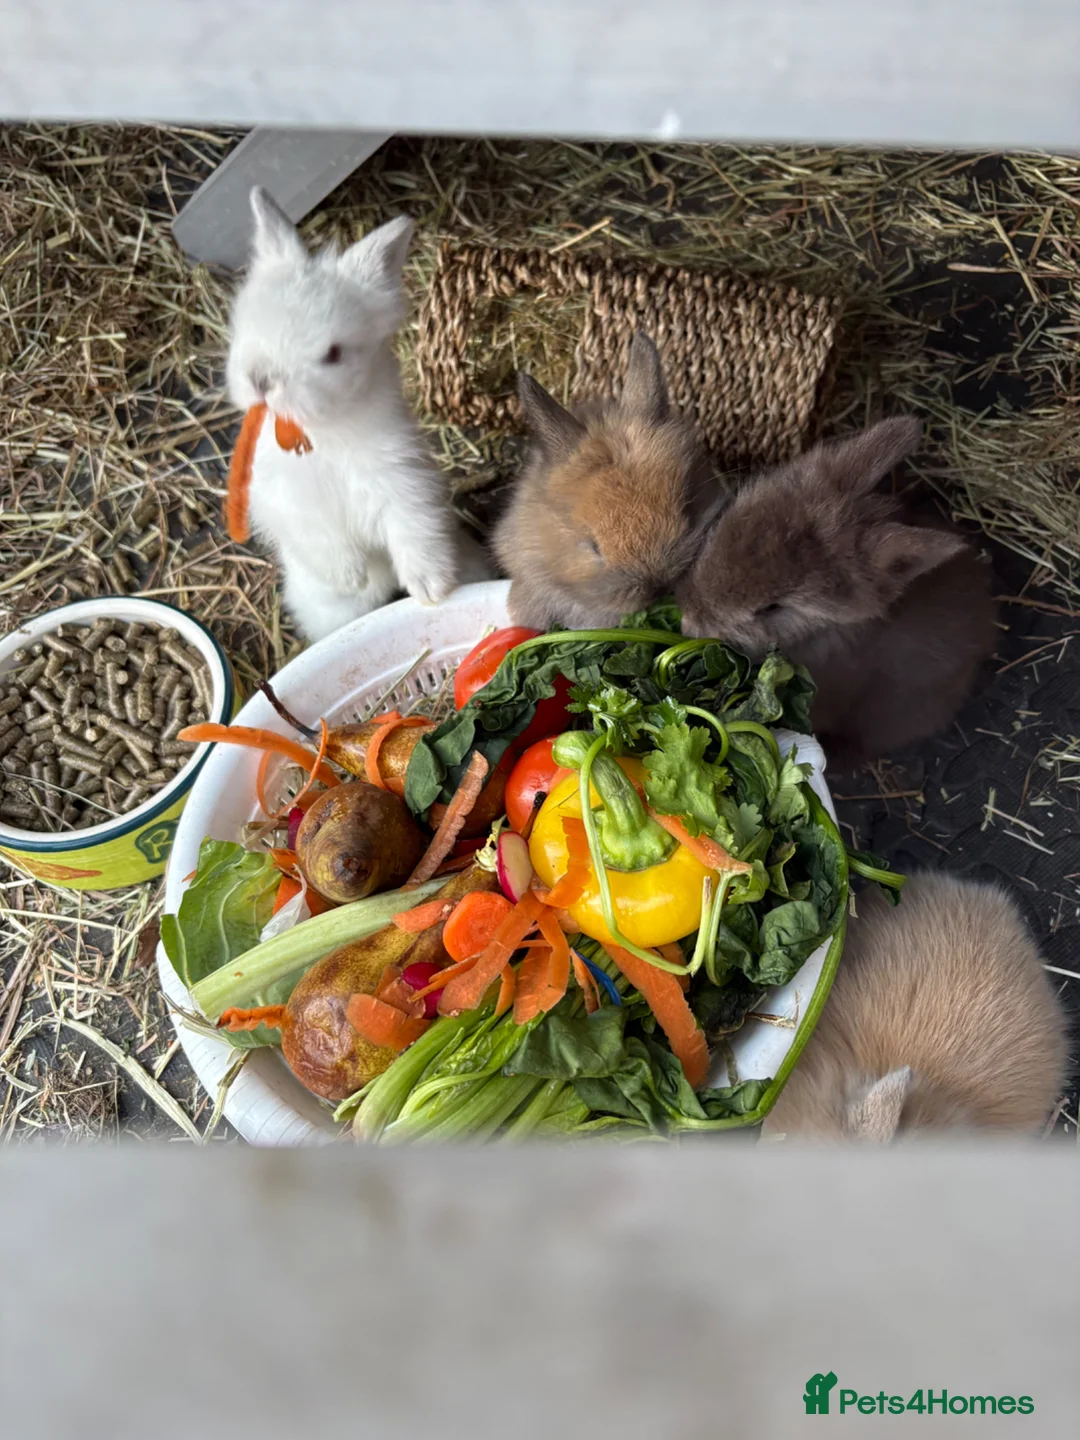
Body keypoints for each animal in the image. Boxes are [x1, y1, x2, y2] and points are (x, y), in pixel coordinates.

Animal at [225, 187, 489, 643]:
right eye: (244, 326)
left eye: (333, 353)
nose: (261, 379)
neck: (323, 431)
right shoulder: (289, 500)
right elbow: (320, 536)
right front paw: (351, 576)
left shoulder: (403, 481)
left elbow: (413, 530)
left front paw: (431, 588)